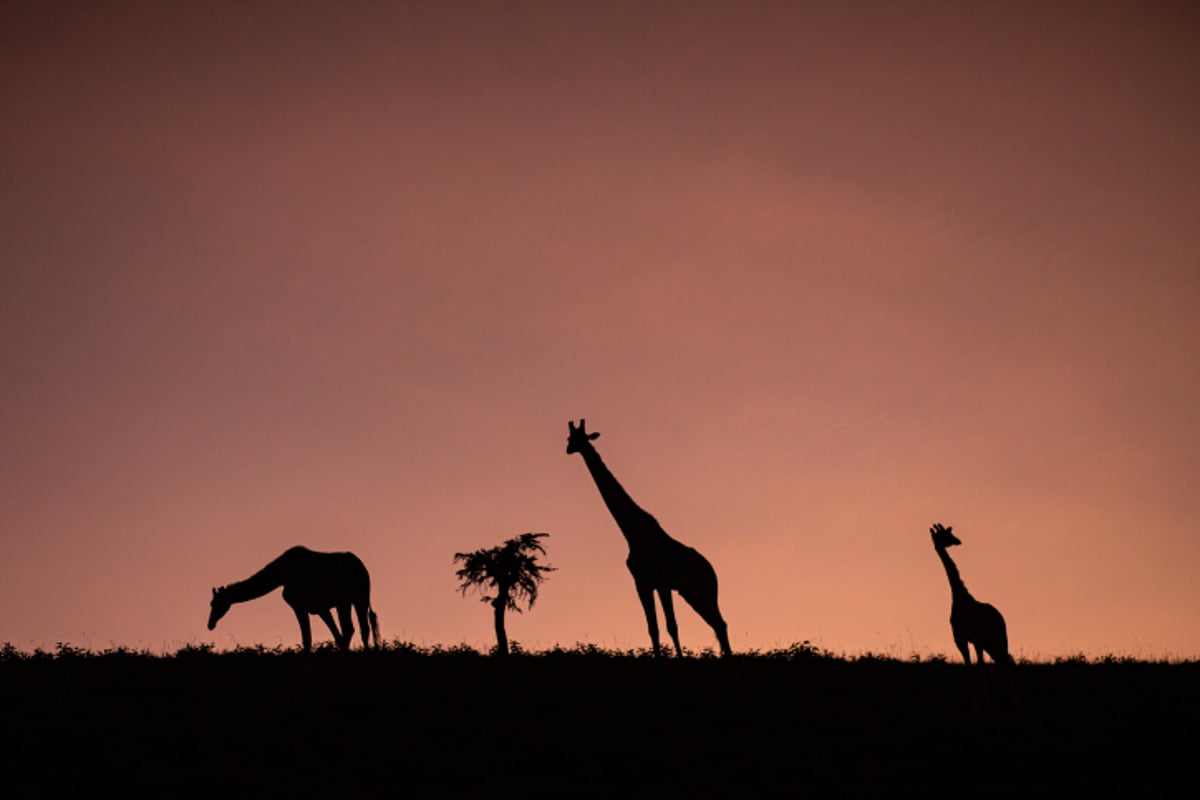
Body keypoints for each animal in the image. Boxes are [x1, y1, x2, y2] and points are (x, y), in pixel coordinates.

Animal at [208, 544, 379, 652]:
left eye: (216, 603)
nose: (210, 624)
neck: (282, 575)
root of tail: (362, 567)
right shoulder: (320, 608)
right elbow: (337, 636)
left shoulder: (300, 607)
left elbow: (307, 640)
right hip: (354, 599)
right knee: (359, 628)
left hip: (351, 599)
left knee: (356, 627)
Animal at [568, 419, 734, 657]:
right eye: (569, 438)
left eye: (579, 438)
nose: (568, 449)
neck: (633, 533)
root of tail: (712, 570)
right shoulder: (642, 583)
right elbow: (652, 629)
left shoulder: (662, 582)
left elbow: (672, 626)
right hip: (691, 593)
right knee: (718, 624)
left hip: (705, 591)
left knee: (720, 623)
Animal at [931, 525, 1017, 714]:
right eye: (946, 535)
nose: (958, 541)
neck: (959, 597)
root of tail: (1001, 618)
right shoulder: (961, 640)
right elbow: (970, 671)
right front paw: (976, 707)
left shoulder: (975, 639)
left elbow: (980, 669)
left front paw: (987, 707)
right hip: (991, 643)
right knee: (1005, 662)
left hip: (997, 639)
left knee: (1008, 663)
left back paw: (1015, 706)